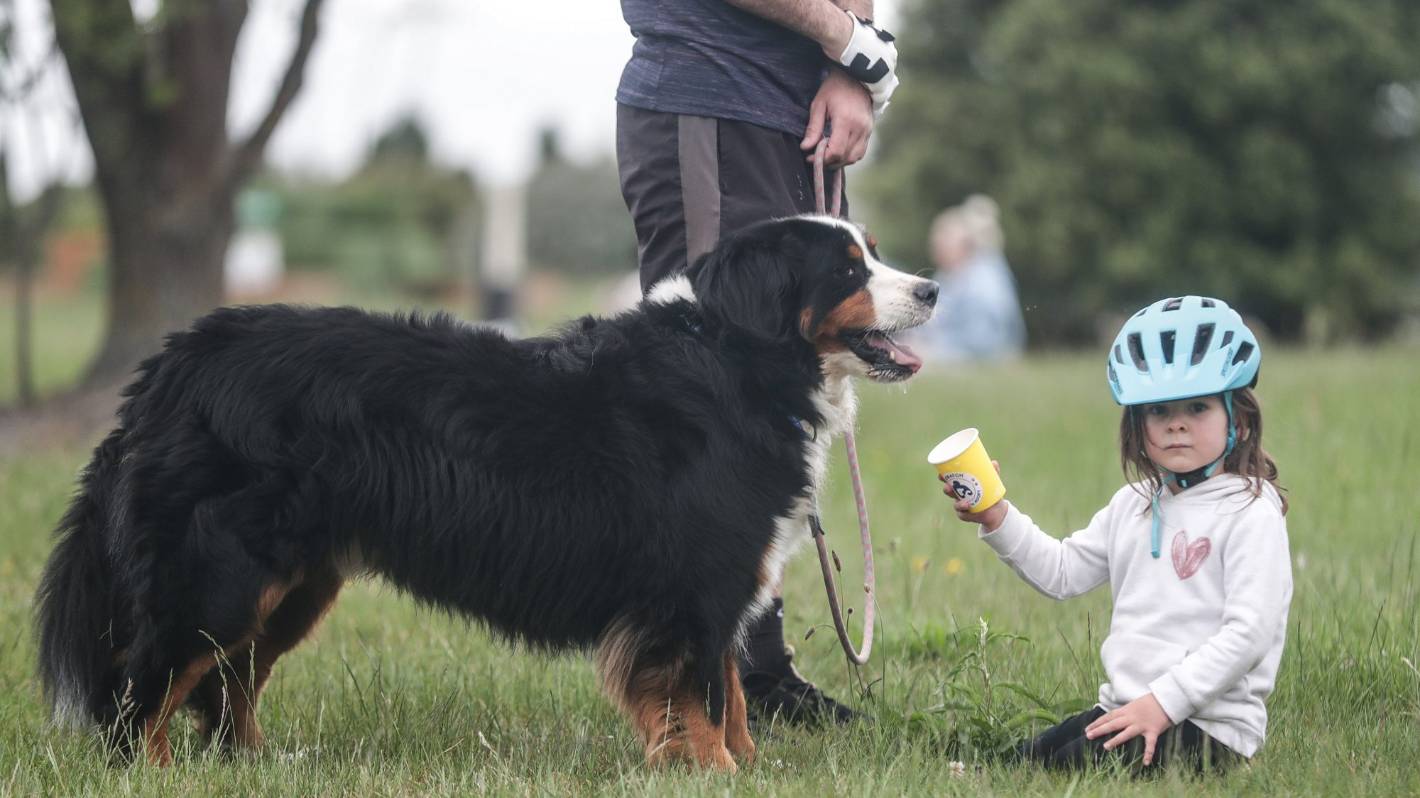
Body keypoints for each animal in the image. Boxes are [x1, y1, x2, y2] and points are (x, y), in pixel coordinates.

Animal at [33, 211, 937, 766]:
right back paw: (156, 772)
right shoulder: (697, 589)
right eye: (847, 270)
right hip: (221, 575)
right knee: (145, 691)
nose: (930, 288)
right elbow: (707, 699)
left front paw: (742, 768)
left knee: (227, 685)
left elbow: (730, 696)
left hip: (292, 582)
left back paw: (258, 765)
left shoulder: (712, 592)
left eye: (873, 252)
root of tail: (173, 363)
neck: (734, 358)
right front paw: (717, 770)